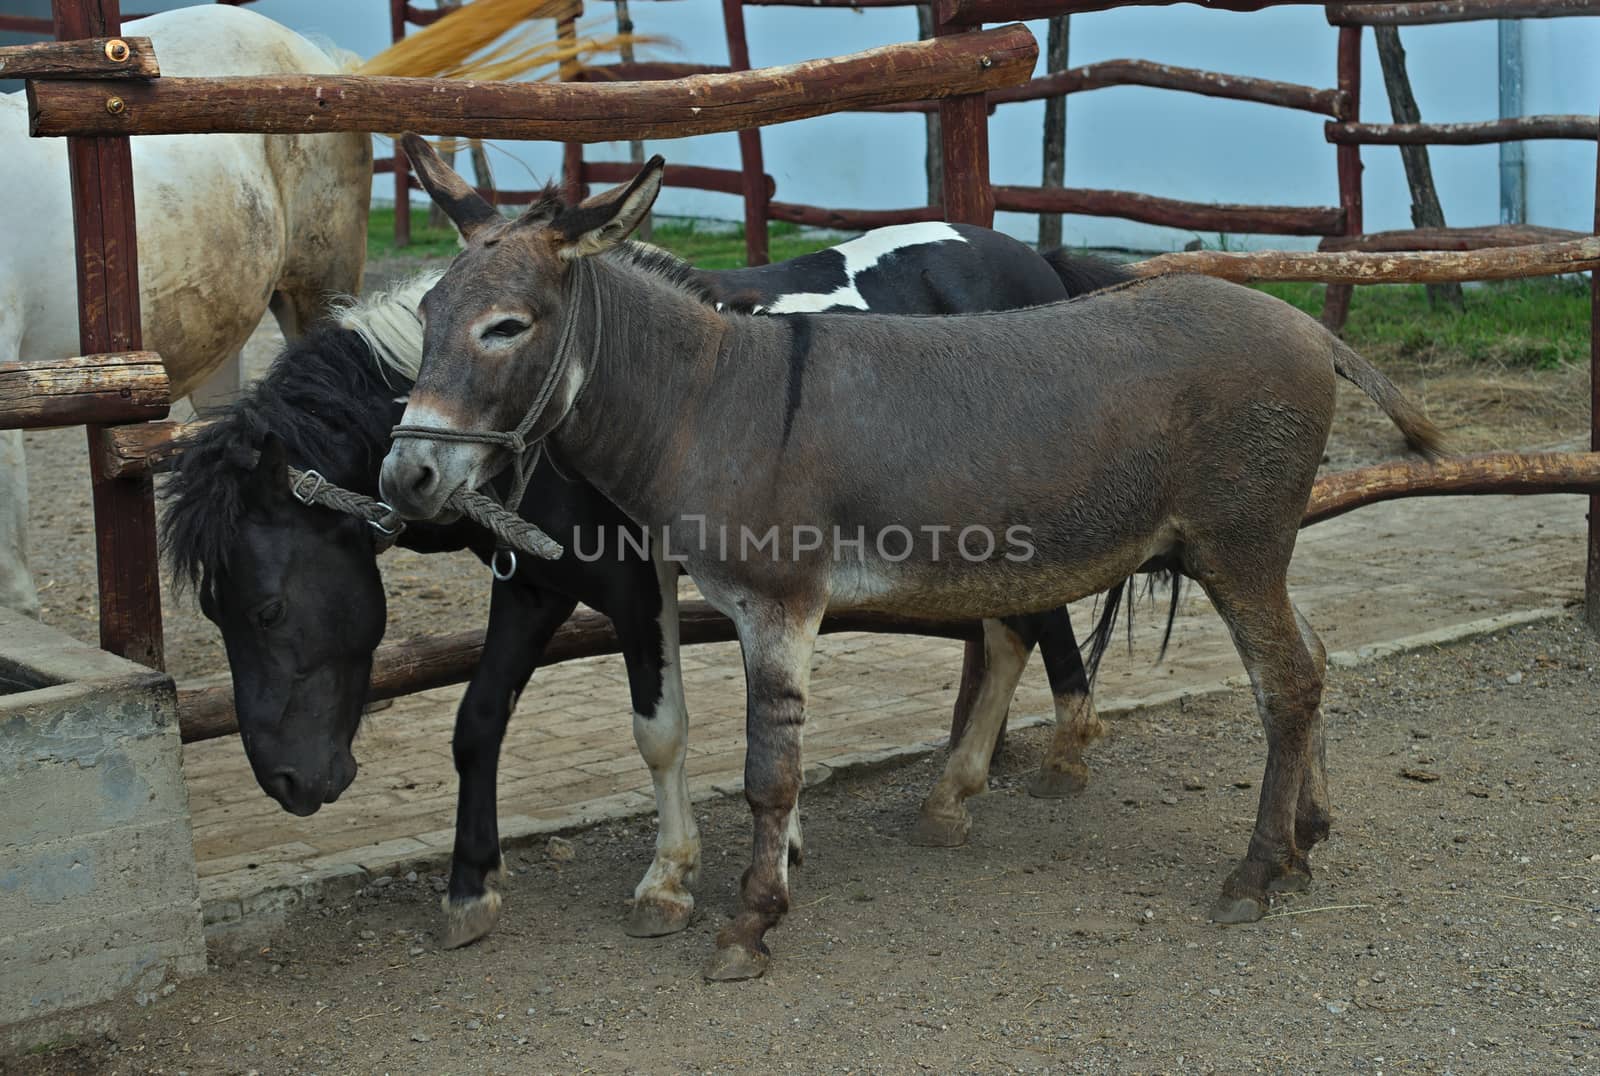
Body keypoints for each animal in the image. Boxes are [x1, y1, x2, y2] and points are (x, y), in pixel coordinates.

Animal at [168, 222, 1132, 947]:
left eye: (267, 607)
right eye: (214, 612)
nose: (289, 783)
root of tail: (1040, 262)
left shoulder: (635, 588)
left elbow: (660, 732)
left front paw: (669, 881)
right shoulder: (534, 584)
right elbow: (477, 722)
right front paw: (471, 884)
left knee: (1021, 628)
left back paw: (1034, 761)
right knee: (1015, 630)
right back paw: (979, 781)